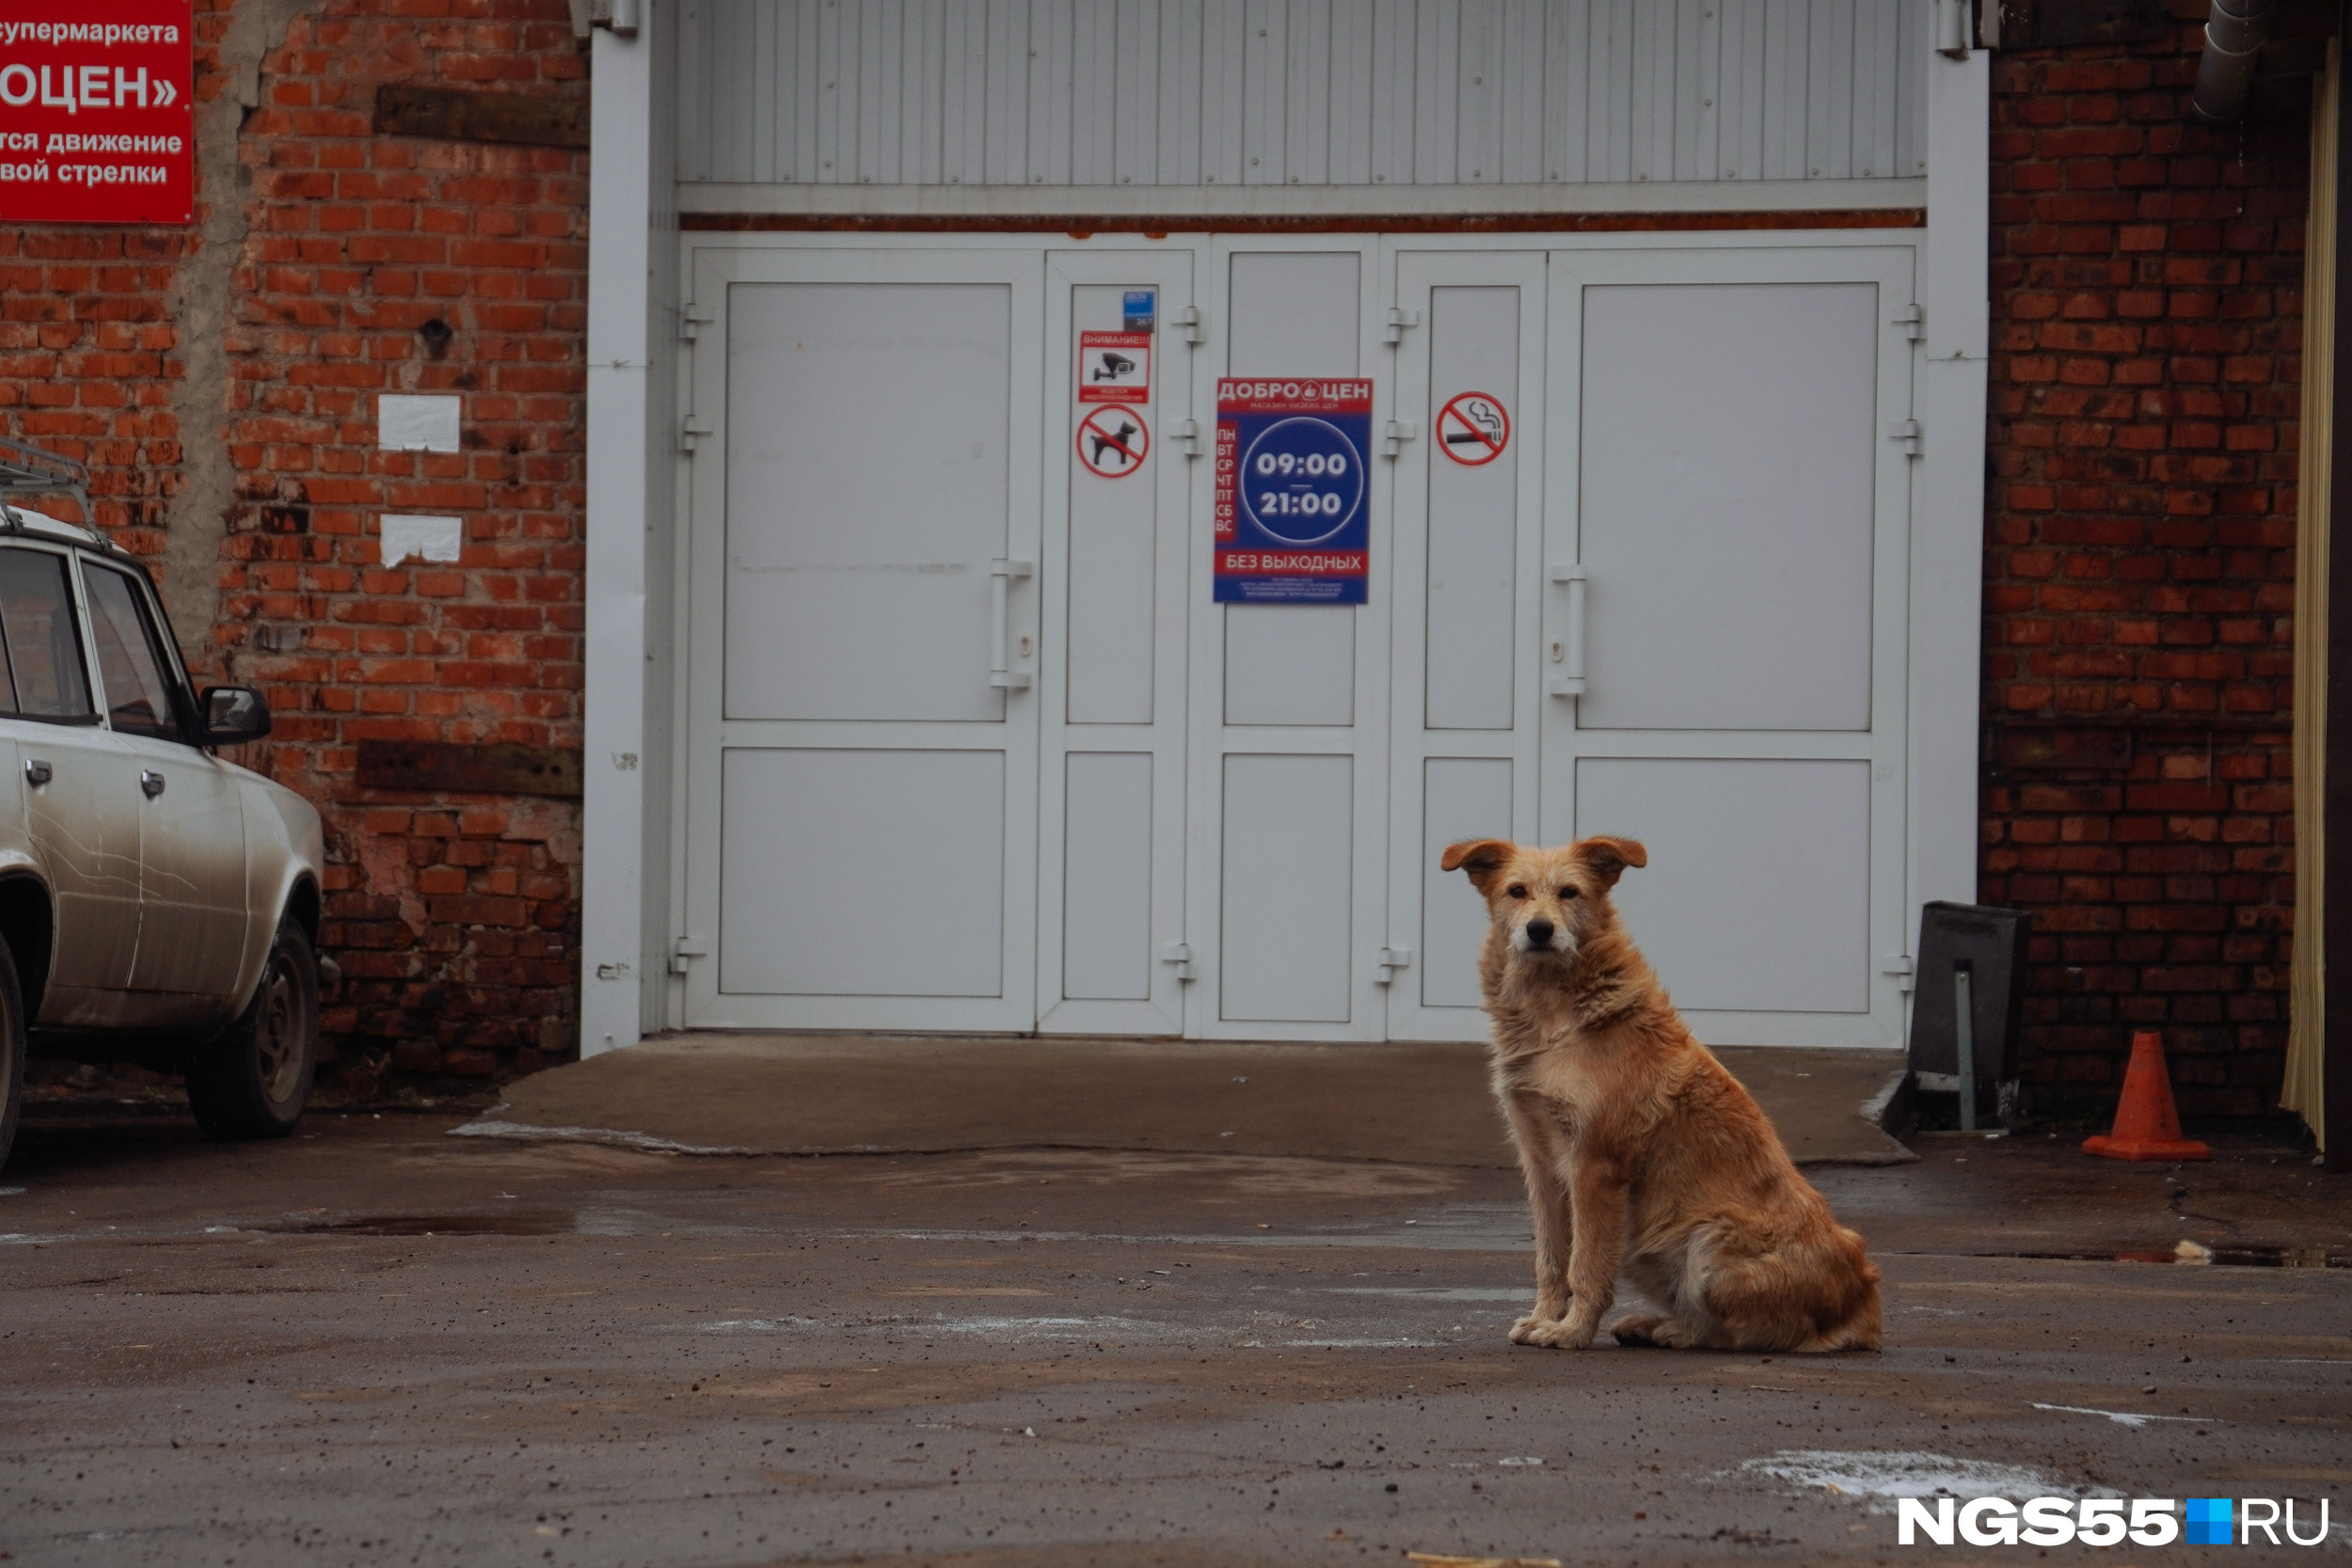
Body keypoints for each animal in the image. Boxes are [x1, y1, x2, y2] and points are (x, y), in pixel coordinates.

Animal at [1439, 841, 1882, 1354]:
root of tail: (1864, 1301)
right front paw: (1544, 1318)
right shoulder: (1540, 1162)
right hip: (1649, 1249)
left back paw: (1671, 1330)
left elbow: (1585, 1264)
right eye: (1517, 891)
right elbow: (1551, 1259)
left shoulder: (1596, 1165)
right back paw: (1654, 1325)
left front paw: (1571, 1332)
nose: (1539, 929)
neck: (1555, 1016)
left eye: (1570, 892)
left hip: (1708, 1242)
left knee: (1746, 1333)